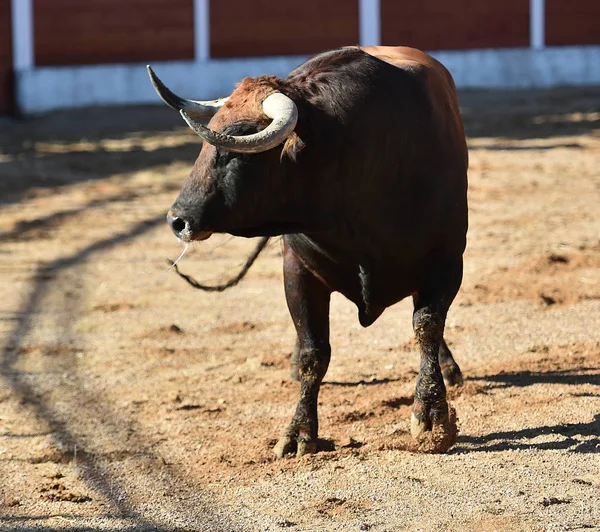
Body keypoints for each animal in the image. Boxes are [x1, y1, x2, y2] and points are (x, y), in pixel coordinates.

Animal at [149, 44, 468, 458]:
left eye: (237, 144)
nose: (177, 220)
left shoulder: (445, 262)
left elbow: (426, 325)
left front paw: (431, 416)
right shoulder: (299, 271)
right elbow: (313, 353)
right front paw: (299, 431)